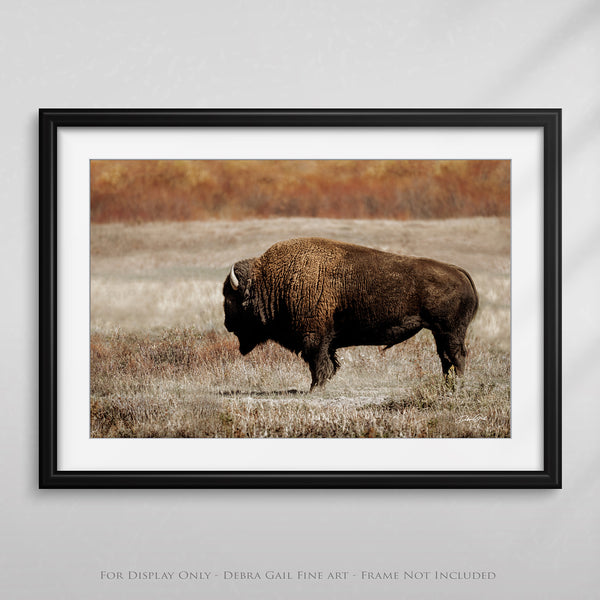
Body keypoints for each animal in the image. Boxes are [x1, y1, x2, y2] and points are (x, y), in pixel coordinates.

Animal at [224, 237, 478, 392]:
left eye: (231, 299)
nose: (227, 324)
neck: (272, 280)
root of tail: (458, 271)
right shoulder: (326, 341)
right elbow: (329, 363)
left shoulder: (314, 338)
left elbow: (318, 363)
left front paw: (315, 388)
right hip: (439, 332)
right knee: (446, 358)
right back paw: (448, 385)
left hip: (450, 331)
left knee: (456, 356)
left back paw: (457, 386)